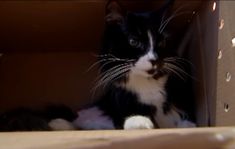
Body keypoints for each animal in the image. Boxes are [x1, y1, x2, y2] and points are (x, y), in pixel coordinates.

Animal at [73, 0, 196, 129]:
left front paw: (187, 125)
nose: (154, 60)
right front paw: (138, 120)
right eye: (133, 42)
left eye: (162, 42)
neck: (147, 82)